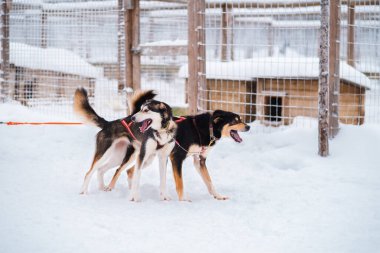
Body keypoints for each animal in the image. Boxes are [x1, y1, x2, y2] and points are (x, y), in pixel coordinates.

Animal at [119, 110, 249, 202]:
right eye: (235, 121)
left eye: (241, 119)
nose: (248, 127)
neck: (206, 128)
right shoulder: (177, 158)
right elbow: (180, 183)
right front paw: (183, 200)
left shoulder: (200, 161)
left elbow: (209, 182)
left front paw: (218, 196)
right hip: (139, 156)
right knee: (121, 170)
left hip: (149, 158)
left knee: (130, 171)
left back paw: (132, 189)